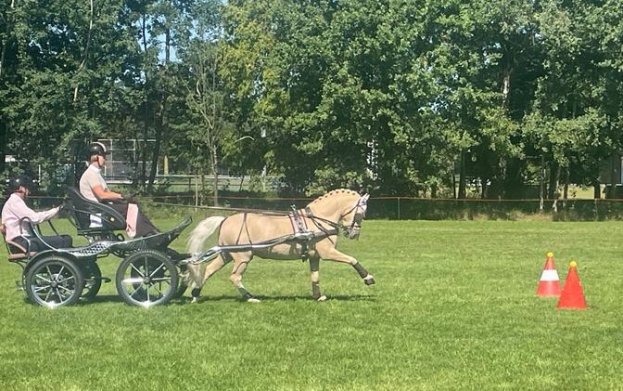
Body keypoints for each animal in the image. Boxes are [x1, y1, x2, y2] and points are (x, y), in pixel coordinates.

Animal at [185, 190, 376, 304]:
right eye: (361, 213)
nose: (354, 234)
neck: (316, 221)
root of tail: (225, 220)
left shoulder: (314, 256)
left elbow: (315, 277)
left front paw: (318, 296)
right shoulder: (327, 252)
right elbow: (351, 259)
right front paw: (368, 278)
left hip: (227, 254)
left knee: (208, 270)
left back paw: (195, 295)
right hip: (243, 256)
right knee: (234, 277)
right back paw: (250, 298)